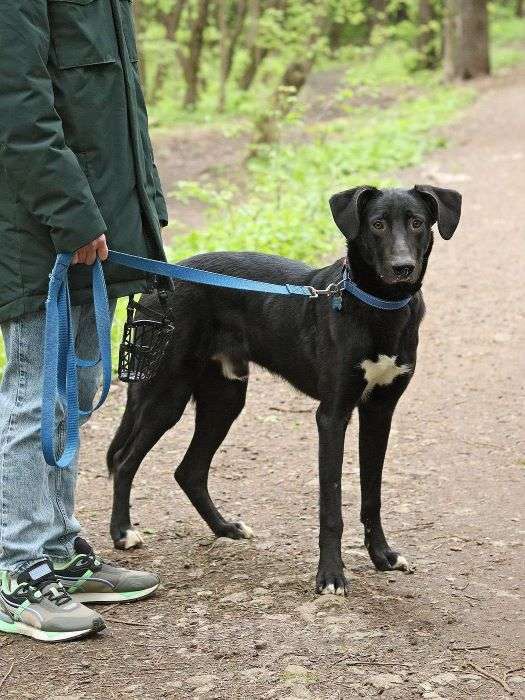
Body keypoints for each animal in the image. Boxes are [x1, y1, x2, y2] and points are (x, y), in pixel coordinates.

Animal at [106, 186, 458, 596]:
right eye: (377, 224)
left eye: (417, 222)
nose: (403, 267)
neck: (379, 307)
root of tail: (159, 283)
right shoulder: (332, 416)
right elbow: (331, 506)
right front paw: (331, 576)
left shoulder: (379, 412)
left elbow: (372, 496)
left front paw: (382, 556)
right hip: (166, 394)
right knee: (124, 460)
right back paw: (123, 532)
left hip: (225, 399)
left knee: (189, 470)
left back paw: (224, 527)